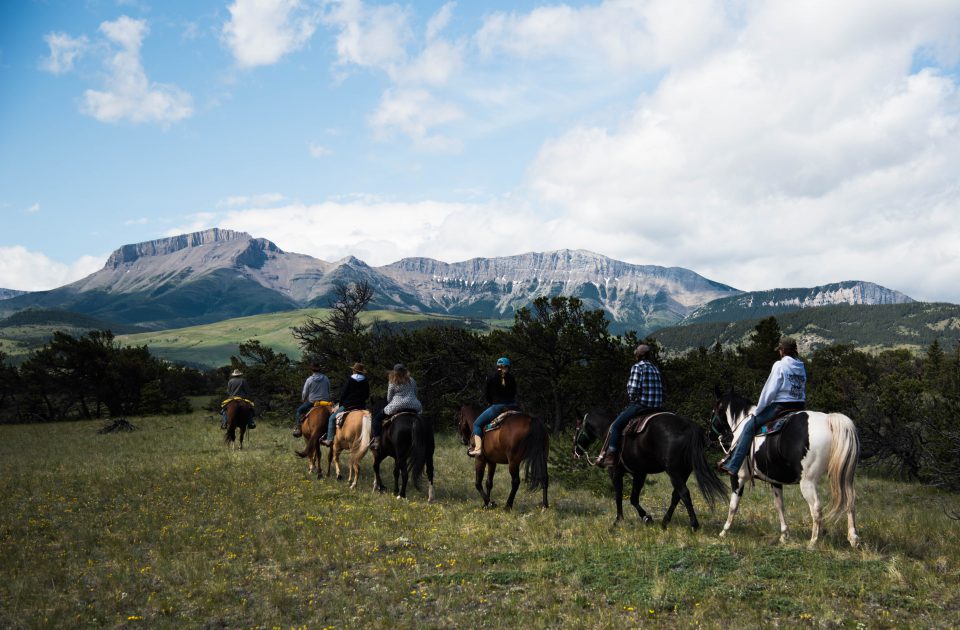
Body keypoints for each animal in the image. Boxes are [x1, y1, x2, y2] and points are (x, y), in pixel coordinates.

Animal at [572, 412, 724, 532]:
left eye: (577, 428)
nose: (575, 451)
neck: (607, 431)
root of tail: (688, 426)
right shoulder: (640, 473)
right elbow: (633, 498)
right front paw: (646, 518)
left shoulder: (615, 471)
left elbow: (619, 496)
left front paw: (620, 520)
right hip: (684, 471)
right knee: (676, 495)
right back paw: (664, 522)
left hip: (674, 472)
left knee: (684, 493)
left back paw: (694, 525)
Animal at [708, 390, 860, 548]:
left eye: (713, 411)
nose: (710, 435)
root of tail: (828, 420)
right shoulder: (775, 481)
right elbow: (779, 506)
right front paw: (784, 535)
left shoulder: (738, 477)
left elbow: (733, 505)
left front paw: (724, 532)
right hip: (844, 477)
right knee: (850, 501)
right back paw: (853, 538)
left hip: (807, 482)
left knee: (816, 508)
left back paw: (813, 542)